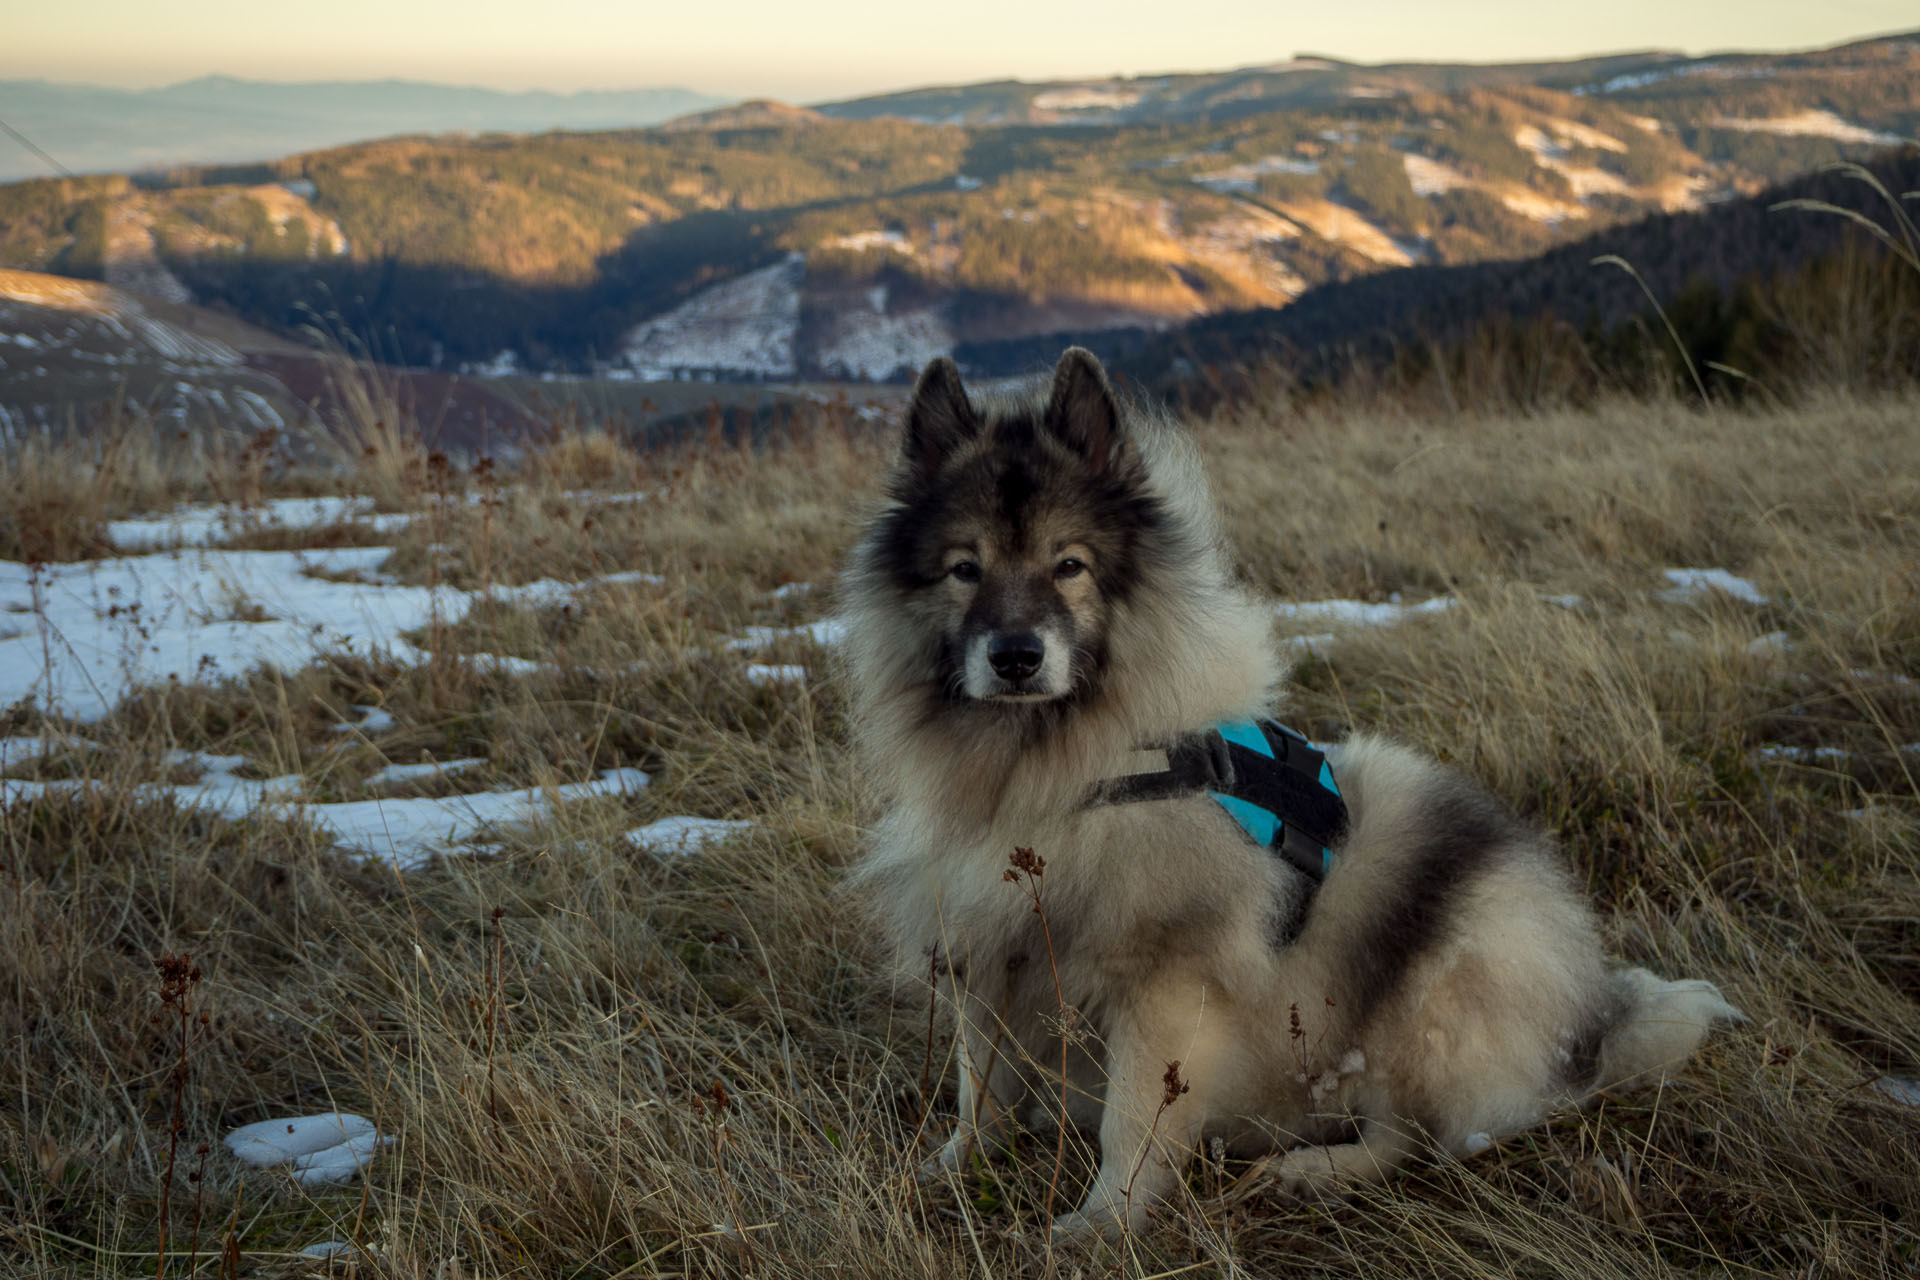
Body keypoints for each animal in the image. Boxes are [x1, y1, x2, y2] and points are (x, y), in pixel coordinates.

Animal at [840, 345, 1743, 1235]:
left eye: (1069, 566)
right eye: (965, 570)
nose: (1017, 656)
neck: (1060, 771)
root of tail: (1588, 1018)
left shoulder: (1163, 983)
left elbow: (1132, 1120)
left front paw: (1103, 1224)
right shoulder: (989, 953)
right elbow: (980, 1090)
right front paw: (951, 1171)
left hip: (1437, 984)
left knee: (1415, 1135)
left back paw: (1312, 1170)